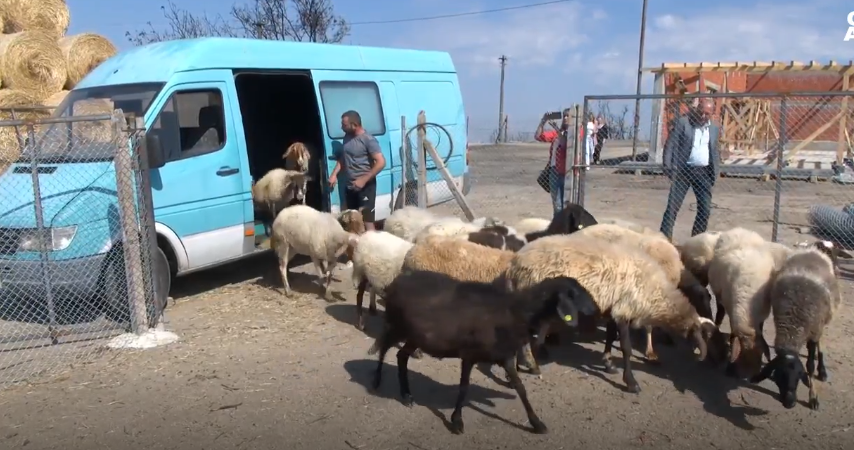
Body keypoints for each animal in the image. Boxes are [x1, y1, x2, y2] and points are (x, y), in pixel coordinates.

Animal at [366, 268, 596, 434]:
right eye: (574, 294)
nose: (595, 310)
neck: (516, 312)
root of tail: (396, 281)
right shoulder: (469, 354)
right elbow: (464, 387)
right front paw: (457, 421)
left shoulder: (505, 356)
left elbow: (521, 388)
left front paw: (536, 423)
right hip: (396, 325)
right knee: (384, 346)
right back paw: (376, 382)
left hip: (416, 336)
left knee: (401, 356)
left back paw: (406, 395)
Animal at [504, 236, 720, 390]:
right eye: (696, 333)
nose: (701, 357)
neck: (655, 292)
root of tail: (514, 263)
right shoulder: (624, 309)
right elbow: (626, 347)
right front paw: (631, 382)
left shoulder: (613, 307)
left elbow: (610, 336)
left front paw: (609, 364)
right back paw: (520, 369)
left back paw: (529, 363)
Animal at [752, 243, 844, 412]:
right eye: (776, 378)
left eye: (797, 378)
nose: (790, 403)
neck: (793, 328)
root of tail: (813, 249)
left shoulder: (814, 329)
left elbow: (810, 366)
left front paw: (813, 397)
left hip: (822, 320)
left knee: (820, 342)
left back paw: (822, 370)